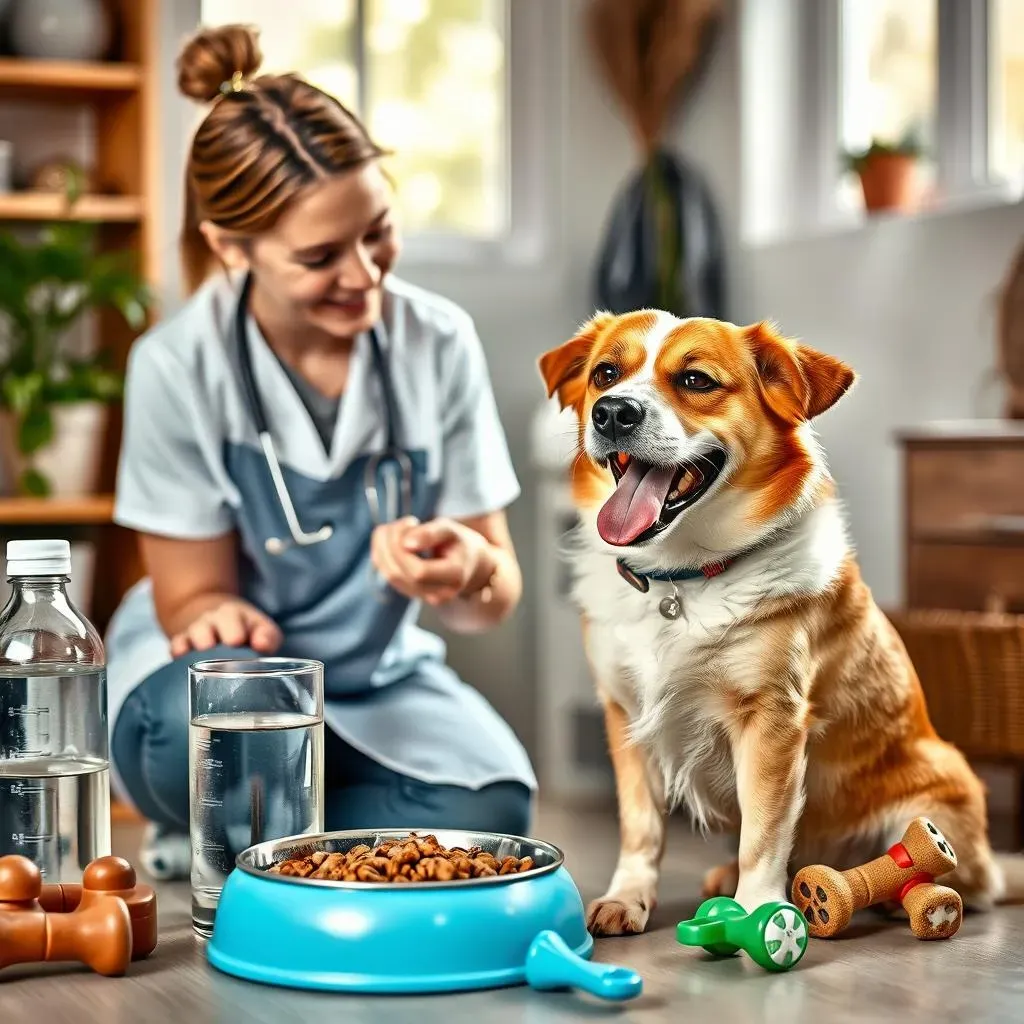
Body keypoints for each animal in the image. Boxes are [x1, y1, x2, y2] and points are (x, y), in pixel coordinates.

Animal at [540, 309, 1019, 937]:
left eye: (695, 380)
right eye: (605, 374)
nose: (613, 411)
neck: (679, 578)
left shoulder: (771, 717)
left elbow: (763, 834)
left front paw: (756, 916)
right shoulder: (626, 715)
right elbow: (641, 829)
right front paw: (628, 898)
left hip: (936, 798)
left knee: (952, 876)